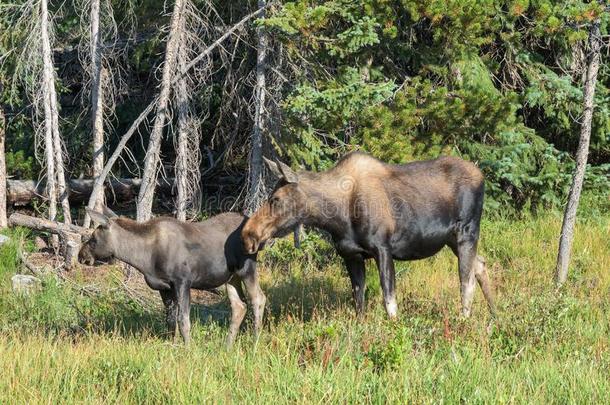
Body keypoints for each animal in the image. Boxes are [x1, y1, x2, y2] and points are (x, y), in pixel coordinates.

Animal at [80, 207, 264, 346]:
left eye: (93, 238)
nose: (81, 256)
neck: (144, 258)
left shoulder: (183, 281)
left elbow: (183, 320)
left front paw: (188, 349)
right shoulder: (165, 287)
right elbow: (170, 321)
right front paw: (173, 346)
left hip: (247, 269)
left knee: (258, 299)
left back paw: (255, 343)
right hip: (231, 277)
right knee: (240, 306)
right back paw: (227, 346)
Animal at [240, 152, 492, 318]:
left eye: (276, 199)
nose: (248, 234)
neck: (337, 217)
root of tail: (482, 176)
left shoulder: (383, 248)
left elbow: (389, 300)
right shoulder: (351, 255)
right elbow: (358, 302)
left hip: (467, 232)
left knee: (466, 280)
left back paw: (464, 322)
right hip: (453, 240)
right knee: (480, 265)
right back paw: (494, 317)